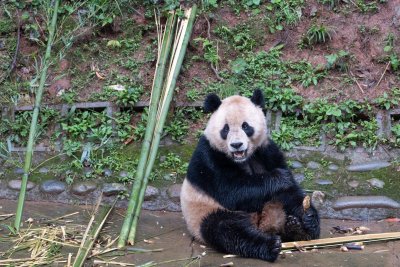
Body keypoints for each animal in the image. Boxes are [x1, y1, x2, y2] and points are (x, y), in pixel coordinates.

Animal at [180, 90, 320, 264]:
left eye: (245, 126)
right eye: (225, 129)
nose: (236, 145)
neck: (243, 159)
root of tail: (260, 226)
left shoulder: (266, 150)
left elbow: (290, 192)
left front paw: (310, 219)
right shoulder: (209, 157)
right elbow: (232, 191)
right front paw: (280, 177)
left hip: (271, 209)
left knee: (280, 205)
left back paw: (296, 229)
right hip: (204, 213)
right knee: (227, 229)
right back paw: (270, 245)